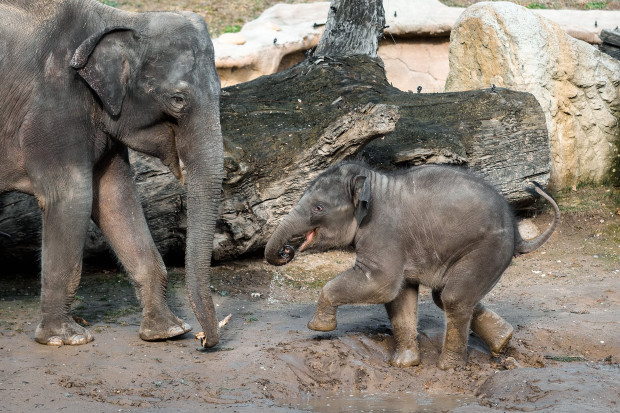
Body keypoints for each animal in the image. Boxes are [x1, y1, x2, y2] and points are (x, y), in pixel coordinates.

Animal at [0, 0, 223, 348]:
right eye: (178, 100)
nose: (203, 341)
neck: (118, 18)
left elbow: (115, 198)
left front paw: (167, 331)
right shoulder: (53, 107)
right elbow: (73, 198)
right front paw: (65, 339)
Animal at [264, 162, 560, 370]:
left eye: (318, 208)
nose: (286, 251)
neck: (372, 182)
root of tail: (518, 234)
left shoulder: (384, 233)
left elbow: (382, 284)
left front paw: (318, 328)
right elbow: (399, 295)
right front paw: (403, 364)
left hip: (487, 250)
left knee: (453, 298)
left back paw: (448, 367)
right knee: (445, 296)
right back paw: (503, 340)